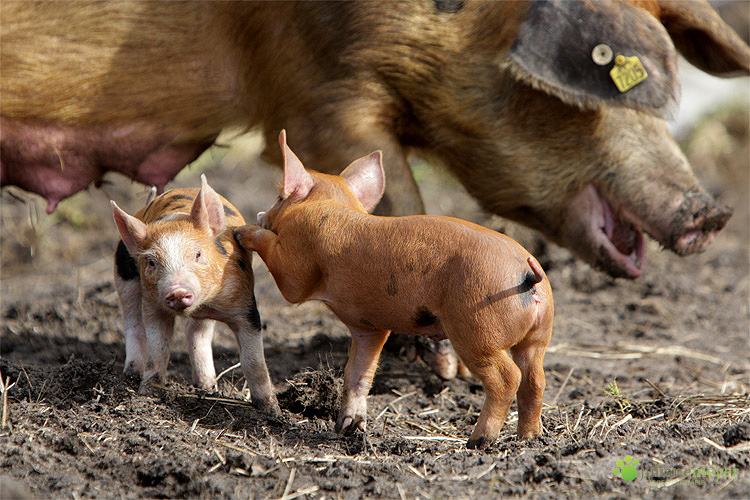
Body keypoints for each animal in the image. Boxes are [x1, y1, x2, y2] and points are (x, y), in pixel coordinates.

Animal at [114, 174, 282, 416]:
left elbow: (253, 360)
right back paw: (132, 374)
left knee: (197, 332)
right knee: (133, 324)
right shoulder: (153, 305)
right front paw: (147, 394)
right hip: (125, 276)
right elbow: (158, 348)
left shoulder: (245, 305)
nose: (177, 290)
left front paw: (271, 410)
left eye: (198, 254)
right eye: (152, 262)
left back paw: (207, 386)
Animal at [235, 131, 560, 448]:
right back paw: (529, 439)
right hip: (538, 336)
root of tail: (527, 272)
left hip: (477, 327)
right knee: (535, 380)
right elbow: (358, 372)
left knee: (508, 378)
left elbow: (287, 278)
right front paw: (349, 429)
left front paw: (242, 231)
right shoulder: (370, 326)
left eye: (280, 197)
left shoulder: (298, 262)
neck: (332, 203)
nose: (263, 213)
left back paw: (477, 441)